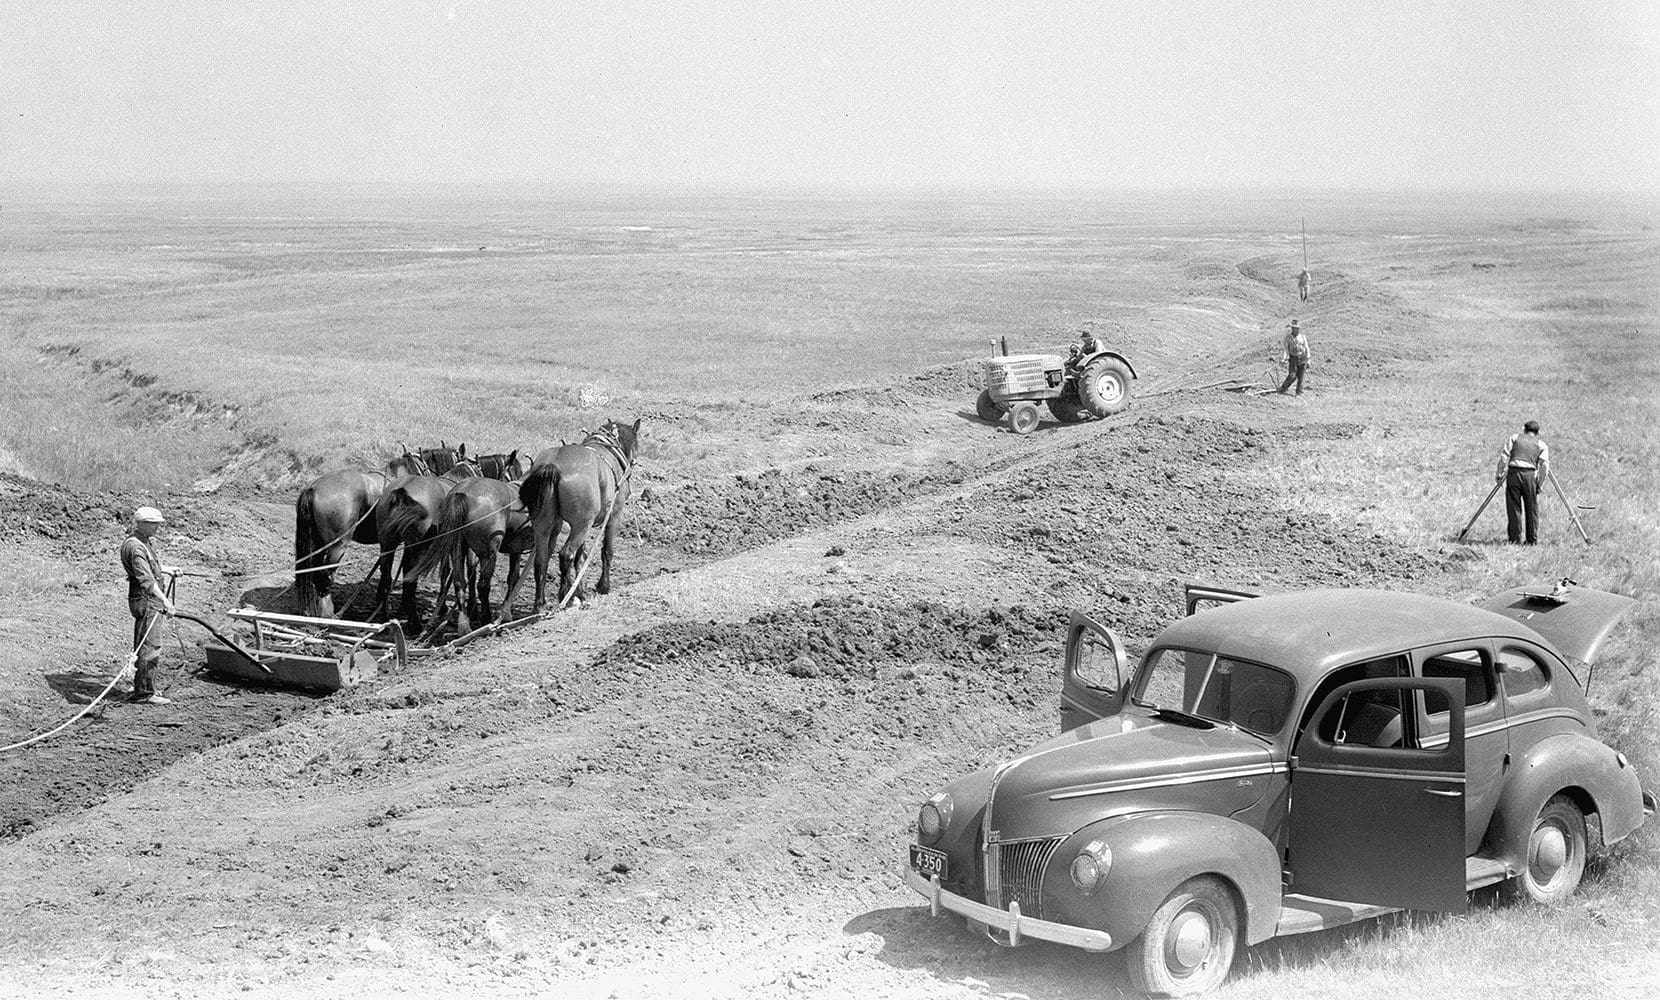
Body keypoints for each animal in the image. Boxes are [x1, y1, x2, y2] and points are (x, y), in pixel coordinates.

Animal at [504, 415, 634, 614]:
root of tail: (555, 465)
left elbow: (580, 557)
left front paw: (579, 590)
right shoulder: (614, 515)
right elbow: (606, 551)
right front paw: (603, 586)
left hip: (545, 525)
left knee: (541, 560)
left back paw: (540, 604)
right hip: (581, 525)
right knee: (566, 555)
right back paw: (568, 598)